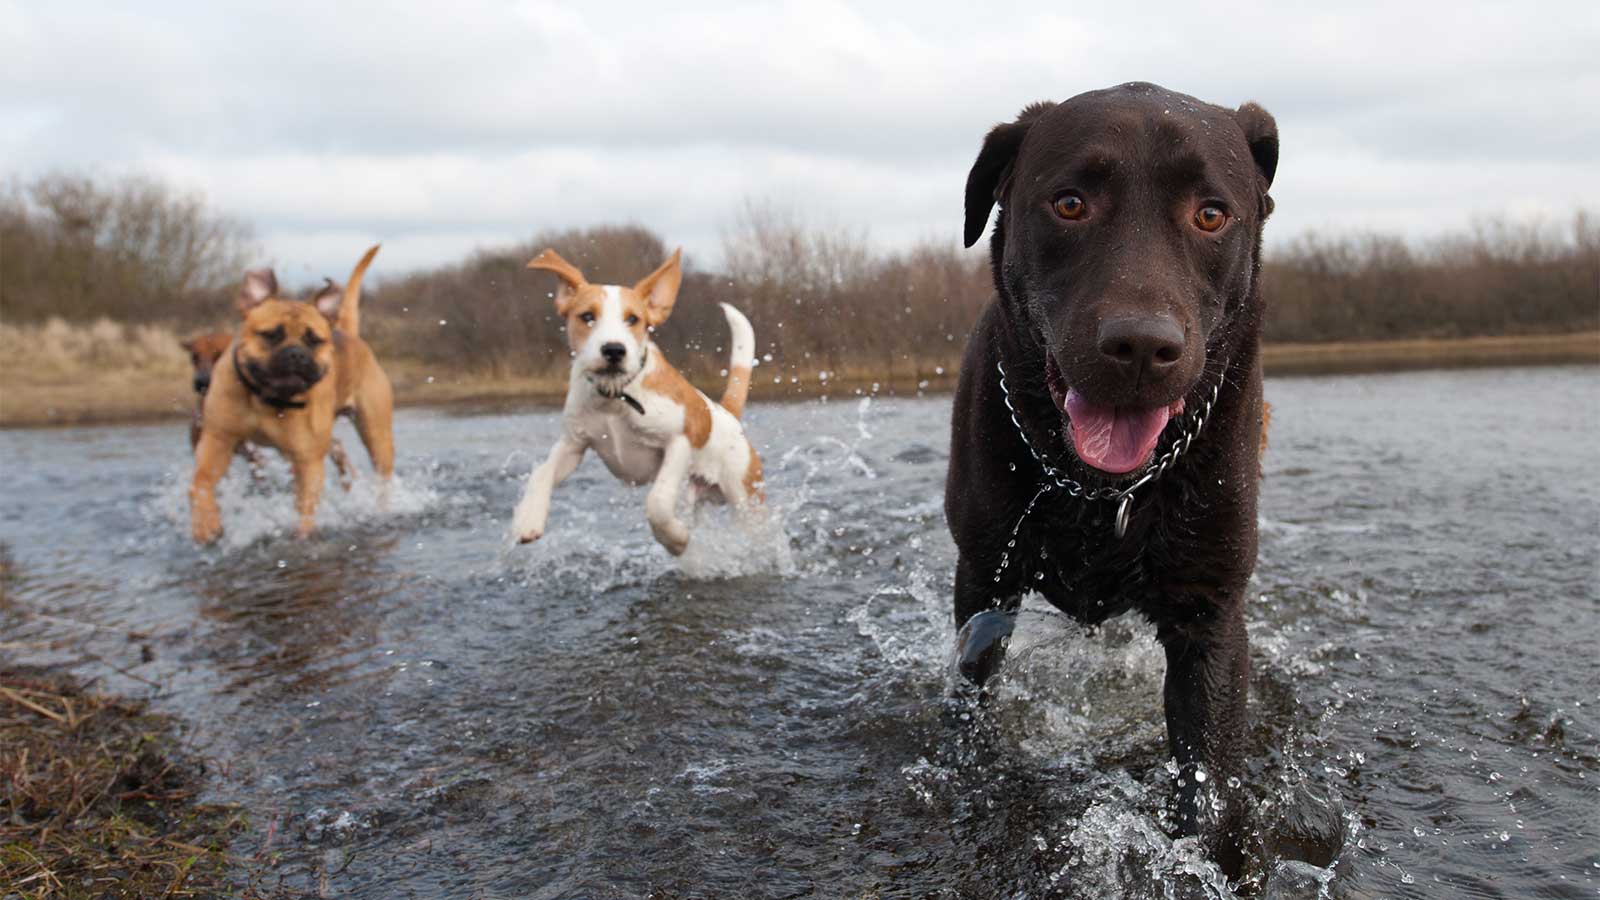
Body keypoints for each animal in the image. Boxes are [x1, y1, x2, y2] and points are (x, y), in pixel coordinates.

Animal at [189, 245, 393, 538]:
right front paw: (205, 524)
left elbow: (305, 509)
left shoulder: (308, 461)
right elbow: (201, 483)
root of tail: (348, 334)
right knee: (338, 449)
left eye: (314, 340)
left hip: (376, 435)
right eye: (271, 334)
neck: (267, 398)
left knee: (382, 475)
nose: (296, 354)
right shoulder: (218, 440)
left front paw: (303, 537)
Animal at [512, 246, 761, 554]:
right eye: (587, 316)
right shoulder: (573, 444)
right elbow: (541, 472)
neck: (615, 396)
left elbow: (658, 501)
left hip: (747, 500)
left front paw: (675, 539)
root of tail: (726, 413)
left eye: (633, 319)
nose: (613, 350)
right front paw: (527, 519)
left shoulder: (679, 441)